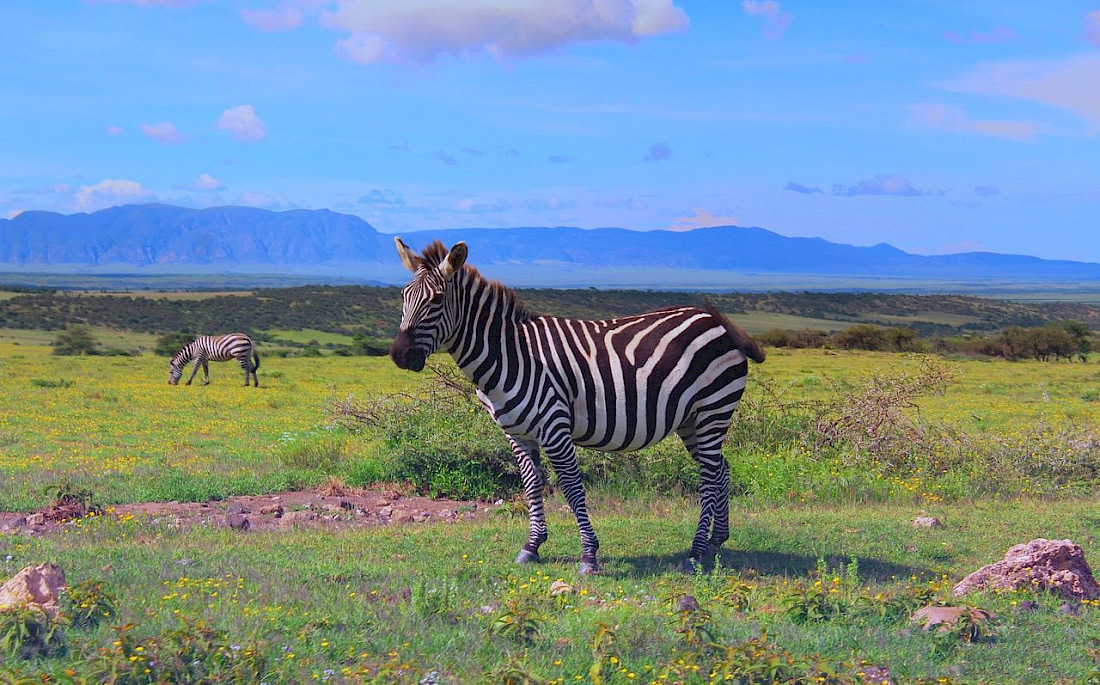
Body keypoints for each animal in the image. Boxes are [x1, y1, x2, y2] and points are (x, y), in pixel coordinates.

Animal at [389, 238, 765, 576]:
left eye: (437, 300)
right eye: (404, 298)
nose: (399, 356)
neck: (509, 354)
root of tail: (715, 318)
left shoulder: (554, 426)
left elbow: (571, 487)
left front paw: (588, 555)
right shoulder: (517, 433)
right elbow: (531, 484)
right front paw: (531, 546)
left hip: (712, 411)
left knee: (709, 476)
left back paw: (696, 552)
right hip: (691, 420)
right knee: (721, 469)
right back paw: (716, 541)